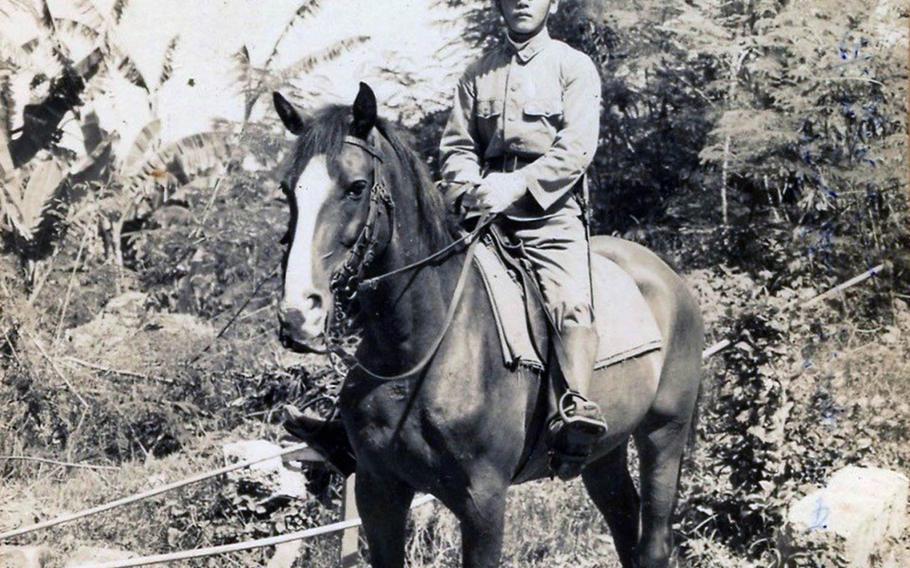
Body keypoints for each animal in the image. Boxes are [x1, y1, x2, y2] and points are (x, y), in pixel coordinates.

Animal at [270, 84, 704, 568]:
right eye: (288, 190)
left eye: (356, 187)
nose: (299, 314)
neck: (419, 349)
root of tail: (667, 279)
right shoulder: (377, 492)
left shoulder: (483, 501)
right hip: (602, 454)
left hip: (663, 434)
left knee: (653, 543)